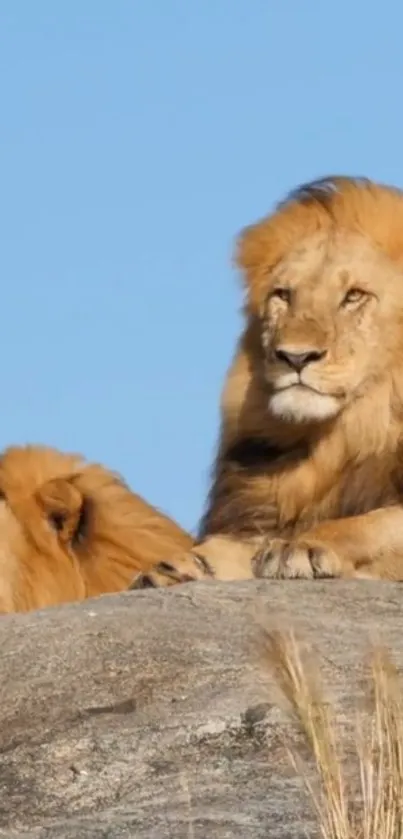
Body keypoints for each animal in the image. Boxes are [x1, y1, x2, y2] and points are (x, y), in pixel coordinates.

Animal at [132, 174, 403, 588]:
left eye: (354, 296)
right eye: (283, 296)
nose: (295, 357)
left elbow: (373, 524)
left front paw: (302, 545)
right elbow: (233, 546)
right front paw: (175, 567)